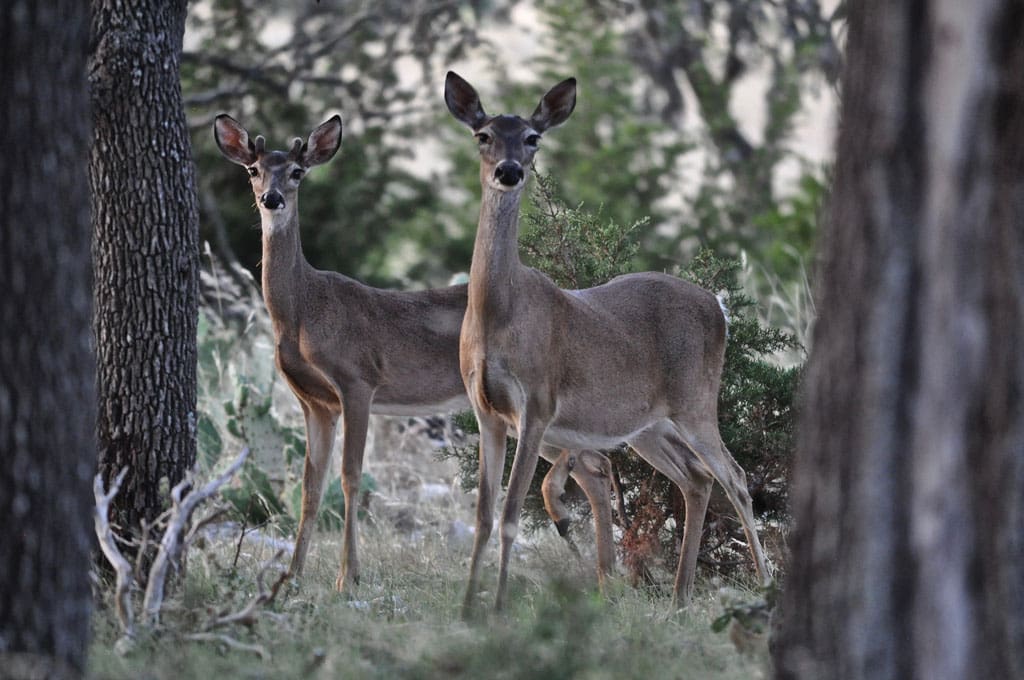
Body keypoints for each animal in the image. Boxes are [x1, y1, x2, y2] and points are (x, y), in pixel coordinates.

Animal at [212, 113, 616, 593]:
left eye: (296, 172)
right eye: (253, 170)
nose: (271, 199)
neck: (303, 311)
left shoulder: (358, 380)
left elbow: (350, 477)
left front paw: (348, 576)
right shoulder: (313, 401)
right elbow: (311, 486)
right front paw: (291, 576)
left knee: (593, 463)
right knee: (596, 465)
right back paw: (607, 575)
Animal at [444, 71, 772, 615]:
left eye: (532, 138)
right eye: (483, 135)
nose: (510, 171)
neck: (497, 313)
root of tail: (718, 307)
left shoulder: (538, 402)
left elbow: (510, 513)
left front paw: (498, 607)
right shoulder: (486, 409)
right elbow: (484, 517)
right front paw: (468, 607)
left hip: (696, 399)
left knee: (736, 478)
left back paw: (764, 586)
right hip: (647, 424)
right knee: (696, 477)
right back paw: (680, 596)